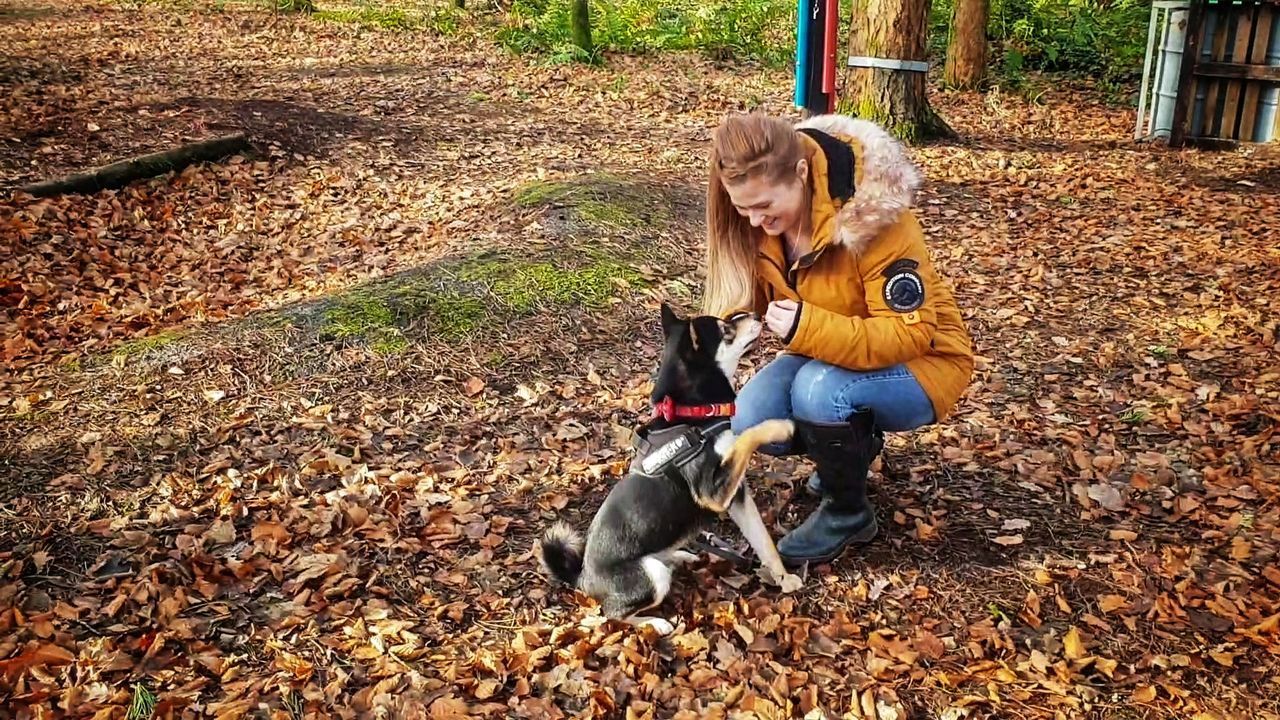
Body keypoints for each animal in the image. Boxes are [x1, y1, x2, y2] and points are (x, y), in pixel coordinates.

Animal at [532, 302, 793, 632]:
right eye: (726, 330)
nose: (759, 314)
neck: (693, 414)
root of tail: (582, 579)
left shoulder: (736, 495)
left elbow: (763, 541)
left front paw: (785, 579)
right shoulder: (713, 491)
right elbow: (749, 436)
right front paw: (781, 427)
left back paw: (682, 556)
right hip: (650, 576)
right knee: (614, 614)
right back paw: (656, 623)